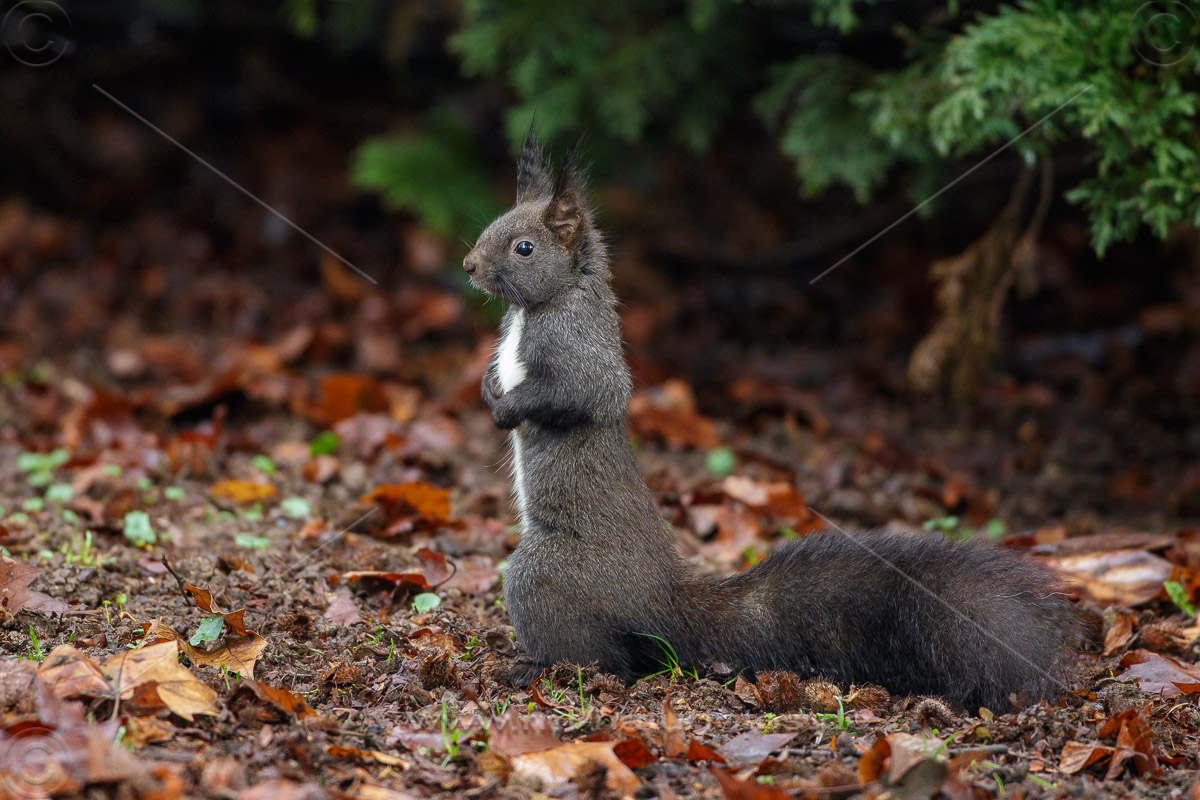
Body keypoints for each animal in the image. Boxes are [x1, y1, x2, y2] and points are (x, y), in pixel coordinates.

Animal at [463, 134, 1080, 710]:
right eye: (491, 224)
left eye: (524, 248)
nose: (468, 266)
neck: (542, 305)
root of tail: (660, 605)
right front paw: (489, 389)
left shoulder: (581, 351)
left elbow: (579, 392)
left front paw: (507, 407)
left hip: (543, 574)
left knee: (608, 661)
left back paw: (536, 667)